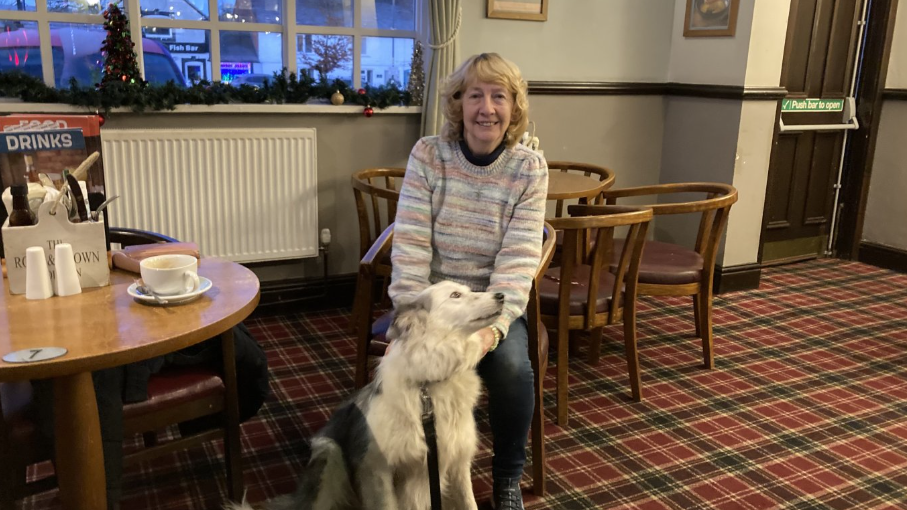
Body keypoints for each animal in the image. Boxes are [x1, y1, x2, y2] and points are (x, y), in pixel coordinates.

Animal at [229, 280, 504, 508]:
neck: (430, 385)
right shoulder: (377, 469)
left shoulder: (457, 463)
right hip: (330, 455)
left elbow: (469, 503)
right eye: (455, 295)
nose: (501, 295)